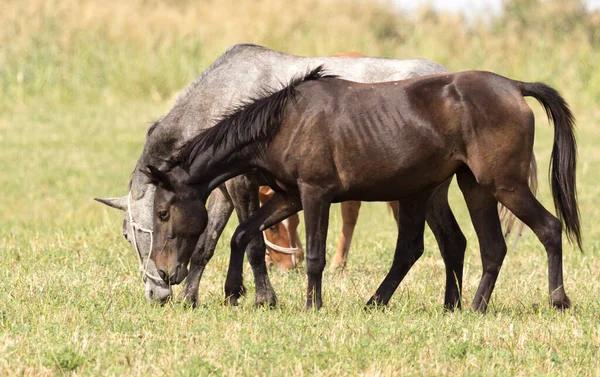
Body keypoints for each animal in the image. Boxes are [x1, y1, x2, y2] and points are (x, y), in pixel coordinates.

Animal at [95, 44, 520, 306]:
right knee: (453, 242)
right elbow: (210, 241)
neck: (225, 95)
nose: (159, 289)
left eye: (143, 227)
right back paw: (451, 304)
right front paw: (201, 297)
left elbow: (251, 243)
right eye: (130, 234)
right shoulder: (220, 190)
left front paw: (261, 297)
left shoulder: (243, 184)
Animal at [146, 67, 580, 312]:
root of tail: (514, 87)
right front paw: (235, 293)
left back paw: (557, 301)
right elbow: (242, 234)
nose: (165, 273)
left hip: (503, 185)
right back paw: (465, 307)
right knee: (488, 248)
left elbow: (314, 256)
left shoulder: (315, 194)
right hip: (472, 188)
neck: (285, 123)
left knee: (548, 228)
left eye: (163, 212)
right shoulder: (289, 197)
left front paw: (312, 306)